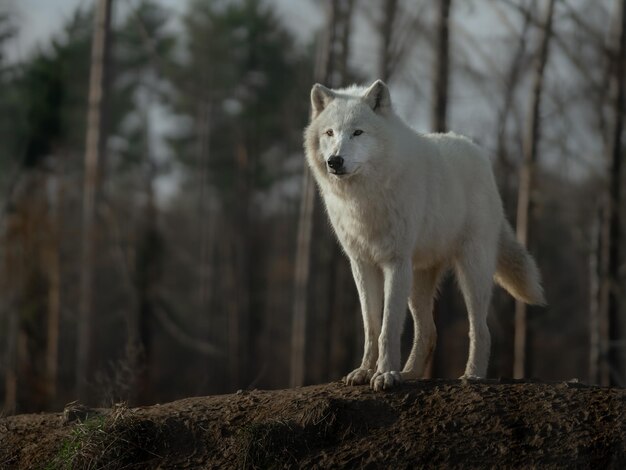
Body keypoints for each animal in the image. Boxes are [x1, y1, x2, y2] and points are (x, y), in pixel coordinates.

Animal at [302, 80, 540, 390]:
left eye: (357, 132)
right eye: (330, 133)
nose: (335, 161)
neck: (364, 199)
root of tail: (476, 151)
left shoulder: (395, 262)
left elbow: (388, 327)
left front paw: (385, 375)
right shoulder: (362, 264)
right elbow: (371, 326)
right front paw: (366, 371)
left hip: (470, 272)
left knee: (481, 329)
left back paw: (472, 374)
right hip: (417, 281)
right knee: (429, 331)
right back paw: (409, 373)